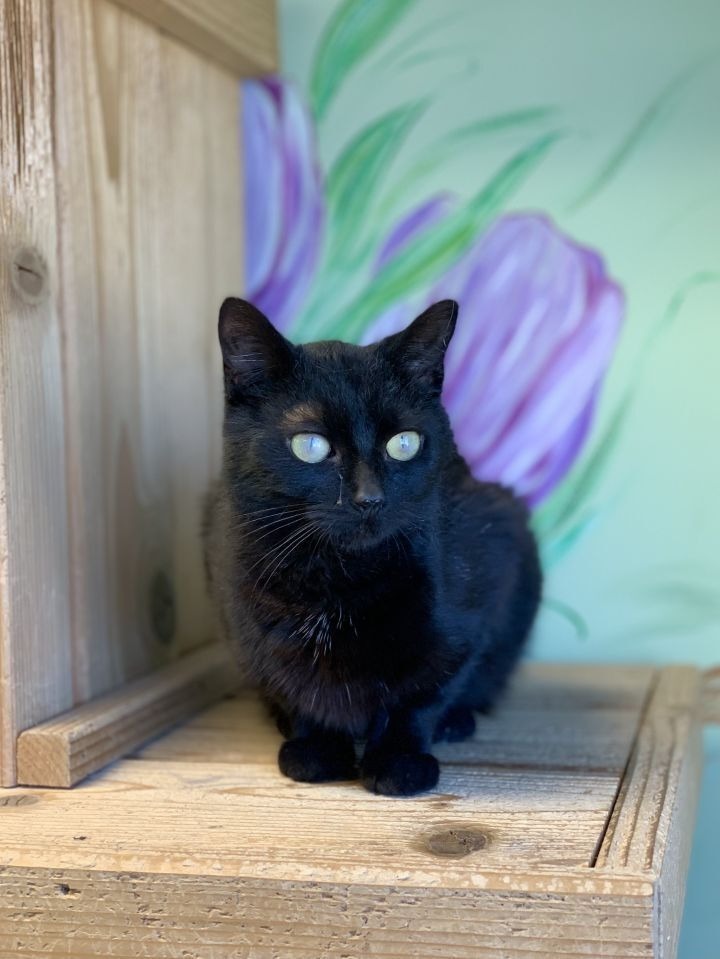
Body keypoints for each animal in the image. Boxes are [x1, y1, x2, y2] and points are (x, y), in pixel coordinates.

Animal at [202, 298, 540, 796]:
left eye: (404, 443)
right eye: (310, 445)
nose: (369, 498)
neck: (337, 581)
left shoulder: (476, 598)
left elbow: (421, 694)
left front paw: (400, 761)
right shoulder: (253, 627)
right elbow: (294, 685)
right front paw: (316, 748)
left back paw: (456, 722)